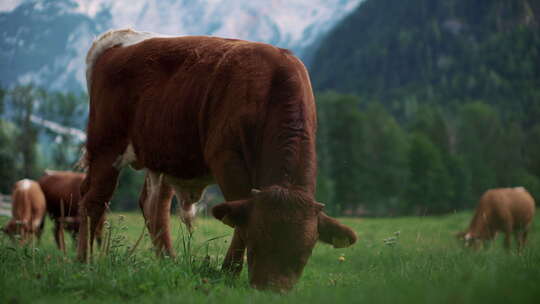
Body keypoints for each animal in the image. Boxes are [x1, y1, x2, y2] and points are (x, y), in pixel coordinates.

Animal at [79, 29, 358, 292]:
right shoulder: (226, 159)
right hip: (106, 145)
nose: (271, 290)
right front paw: (229, 273)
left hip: (162, 156)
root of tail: (120, 39)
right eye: (257, 244)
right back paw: (85, 263)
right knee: (93, 201)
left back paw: (169, 262)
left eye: (304, 253)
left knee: (153, 206)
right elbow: (239, 218)